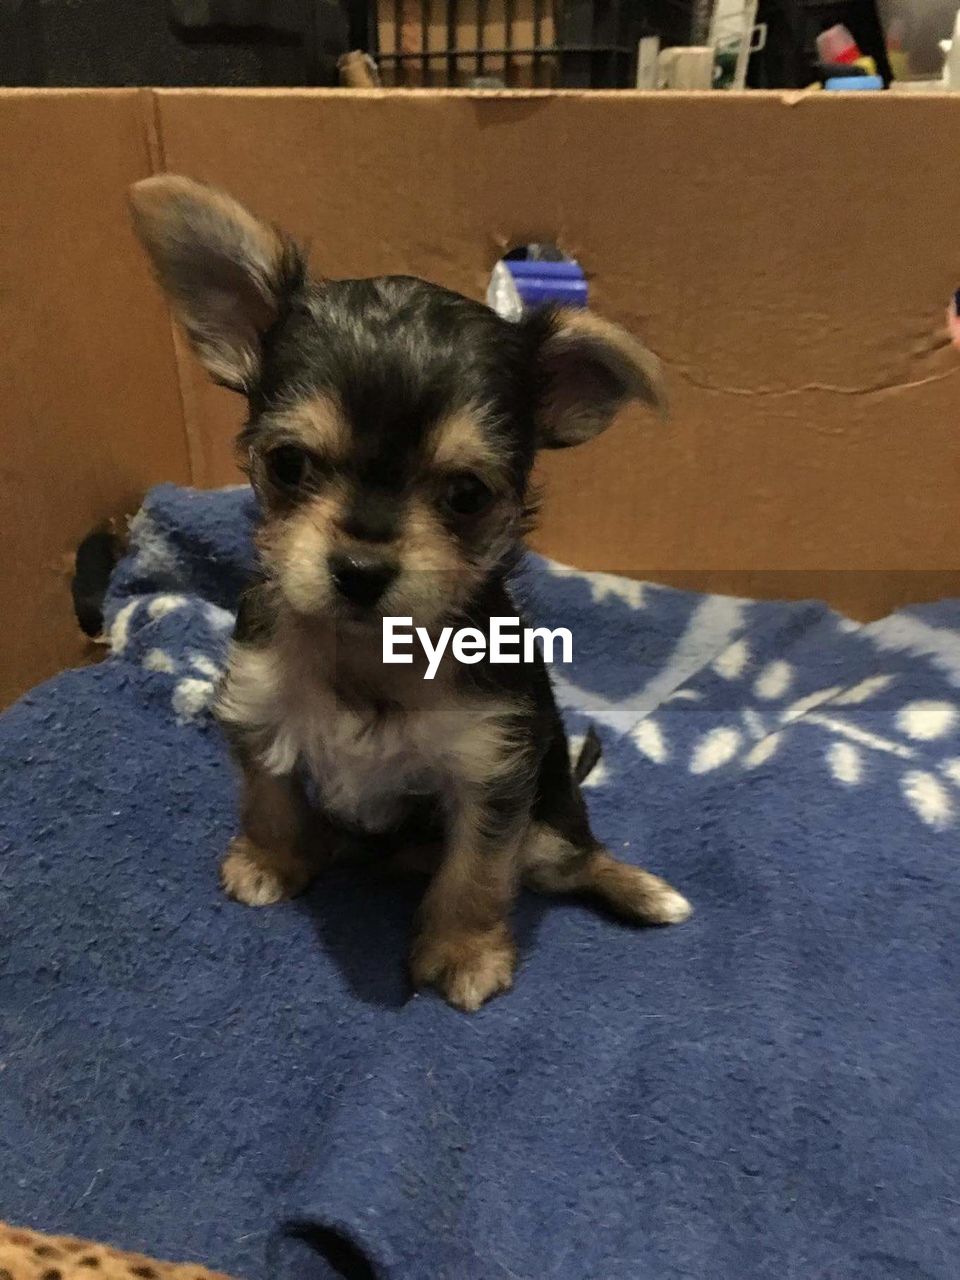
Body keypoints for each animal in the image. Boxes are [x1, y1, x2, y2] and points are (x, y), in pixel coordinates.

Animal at [129, 175, 691, 1008]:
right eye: (288, 464)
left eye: (466, 494)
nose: (361, 570)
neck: (370, 654)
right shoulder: (259, 708)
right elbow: (268, 793)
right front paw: (270, 859)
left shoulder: (493, 772)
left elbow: (478, 871)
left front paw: (462, 951)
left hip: (550, 814)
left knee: (571, 855)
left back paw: (643, 890)